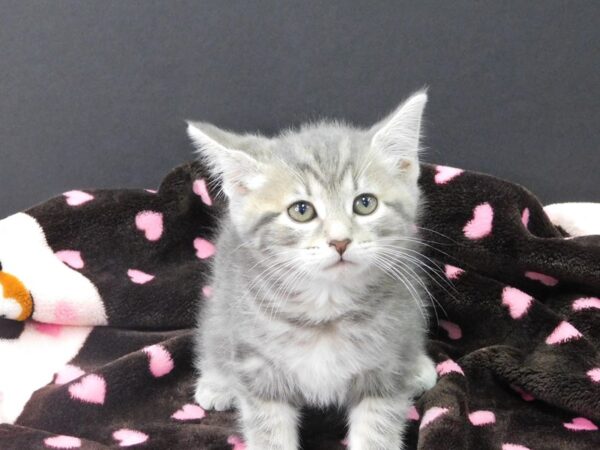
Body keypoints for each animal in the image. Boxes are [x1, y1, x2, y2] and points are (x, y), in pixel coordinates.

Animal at [190, 92, 438, 450]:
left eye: (365, 203)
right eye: (301, 211)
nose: (340, 241)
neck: (326, 310)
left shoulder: (386, 364)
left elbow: (377, 427)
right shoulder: (258, 364)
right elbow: (269, 430)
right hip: (223, 302)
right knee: (214, 337)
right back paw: (217, 383)